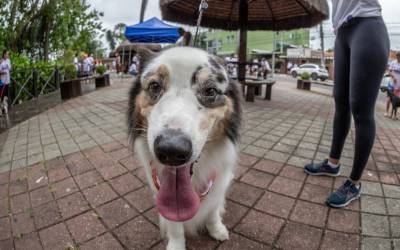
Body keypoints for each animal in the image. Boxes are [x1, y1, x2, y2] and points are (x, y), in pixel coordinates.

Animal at [126, 46, 242, 249]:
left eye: (210, 90)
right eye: (154, 86)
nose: (171, 150)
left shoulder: (219, 180)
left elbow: (213, 209)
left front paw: (216, 228)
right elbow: (175, 226)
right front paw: (176, 244)